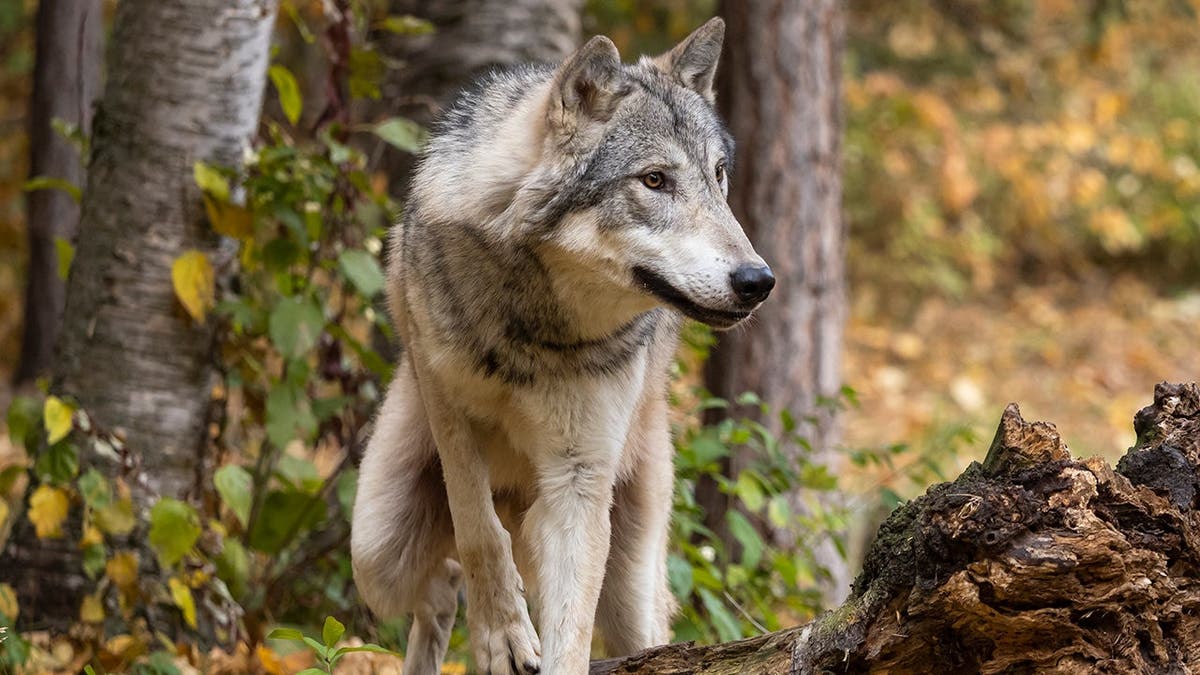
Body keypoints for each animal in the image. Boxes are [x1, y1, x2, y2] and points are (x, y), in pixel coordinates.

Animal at [351, 17, 774, 674]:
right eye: (655, 180)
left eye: (719, 175)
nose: (758, 281)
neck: (532, 327)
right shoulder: (448, 415)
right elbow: (479, 531)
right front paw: (502, 634)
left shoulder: (578, 479)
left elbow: (569, 631)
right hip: (377, 545)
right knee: (441, 582)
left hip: (628, 581)